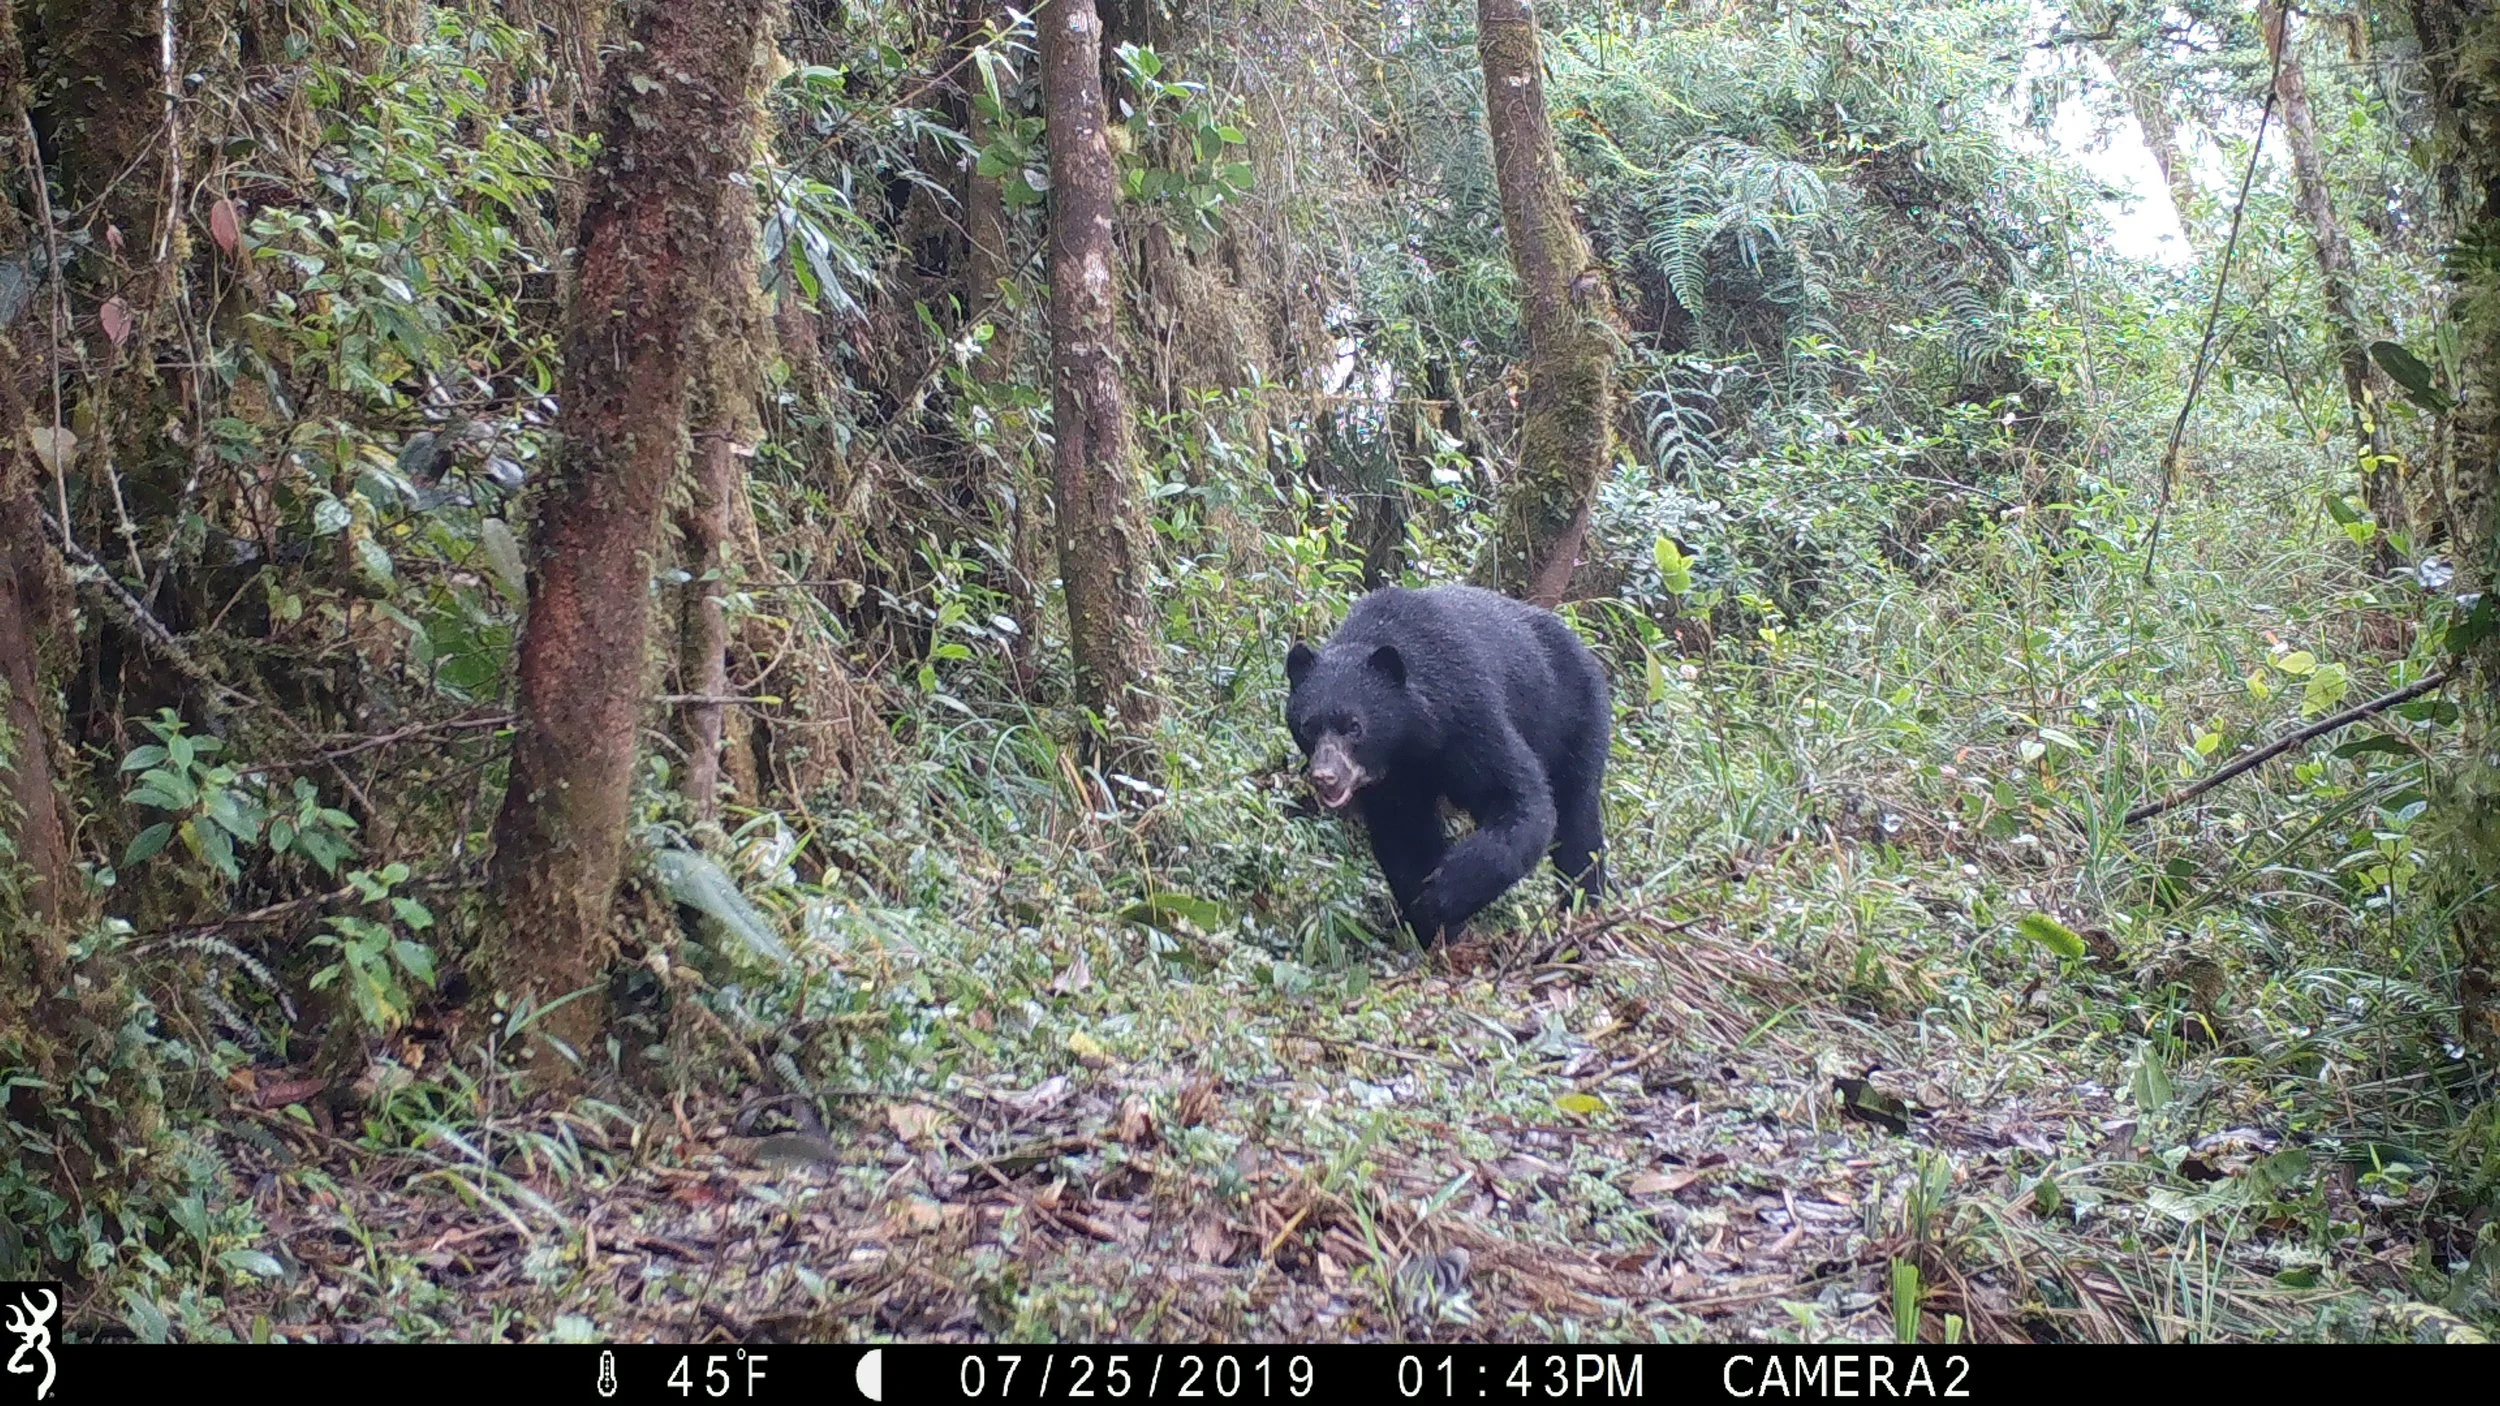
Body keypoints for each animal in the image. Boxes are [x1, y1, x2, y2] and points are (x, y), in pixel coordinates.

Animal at [1284, 584, 1610, 944]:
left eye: (1354, 726)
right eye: (1308, 727)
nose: (1326, 776)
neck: (1409, 741)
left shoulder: (1468, 717)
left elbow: (1518, 799)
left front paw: (1443, 895)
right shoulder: (1395, 781)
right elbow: (1406, 835)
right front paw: (1437, 928)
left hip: (1574, 722)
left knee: (1577, 821)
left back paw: (1584, 907)